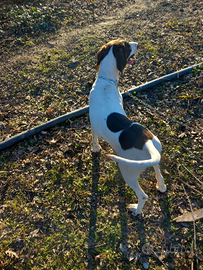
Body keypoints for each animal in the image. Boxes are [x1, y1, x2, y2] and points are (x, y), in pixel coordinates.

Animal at [89, 39, 167, 216]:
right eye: (127, 46)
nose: (137, 43)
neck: (106, 81)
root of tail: (146, 142)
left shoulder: (92, 125)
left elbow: (94, 140)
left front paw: (95, 149)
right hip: (155, 158)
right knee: (159, 176)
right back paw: (160, 187)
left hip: (128, 171)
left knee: (143, 196)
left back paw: (136, 210)